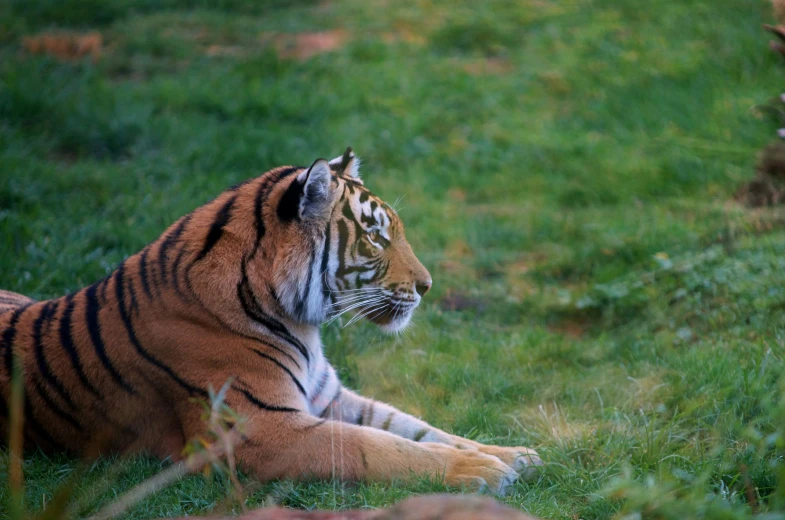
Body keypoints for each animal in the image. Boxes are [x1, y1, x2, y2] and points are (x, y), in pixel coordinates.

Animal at [0, 148, 540, 494]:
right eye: (375, 237)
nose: (428, 286)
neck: (297, 319)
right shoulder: (259, 431)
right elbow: (376, 446)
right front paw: (481, 472)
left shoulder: (328, 397)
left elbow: (416, 427)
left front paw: (511, 454)